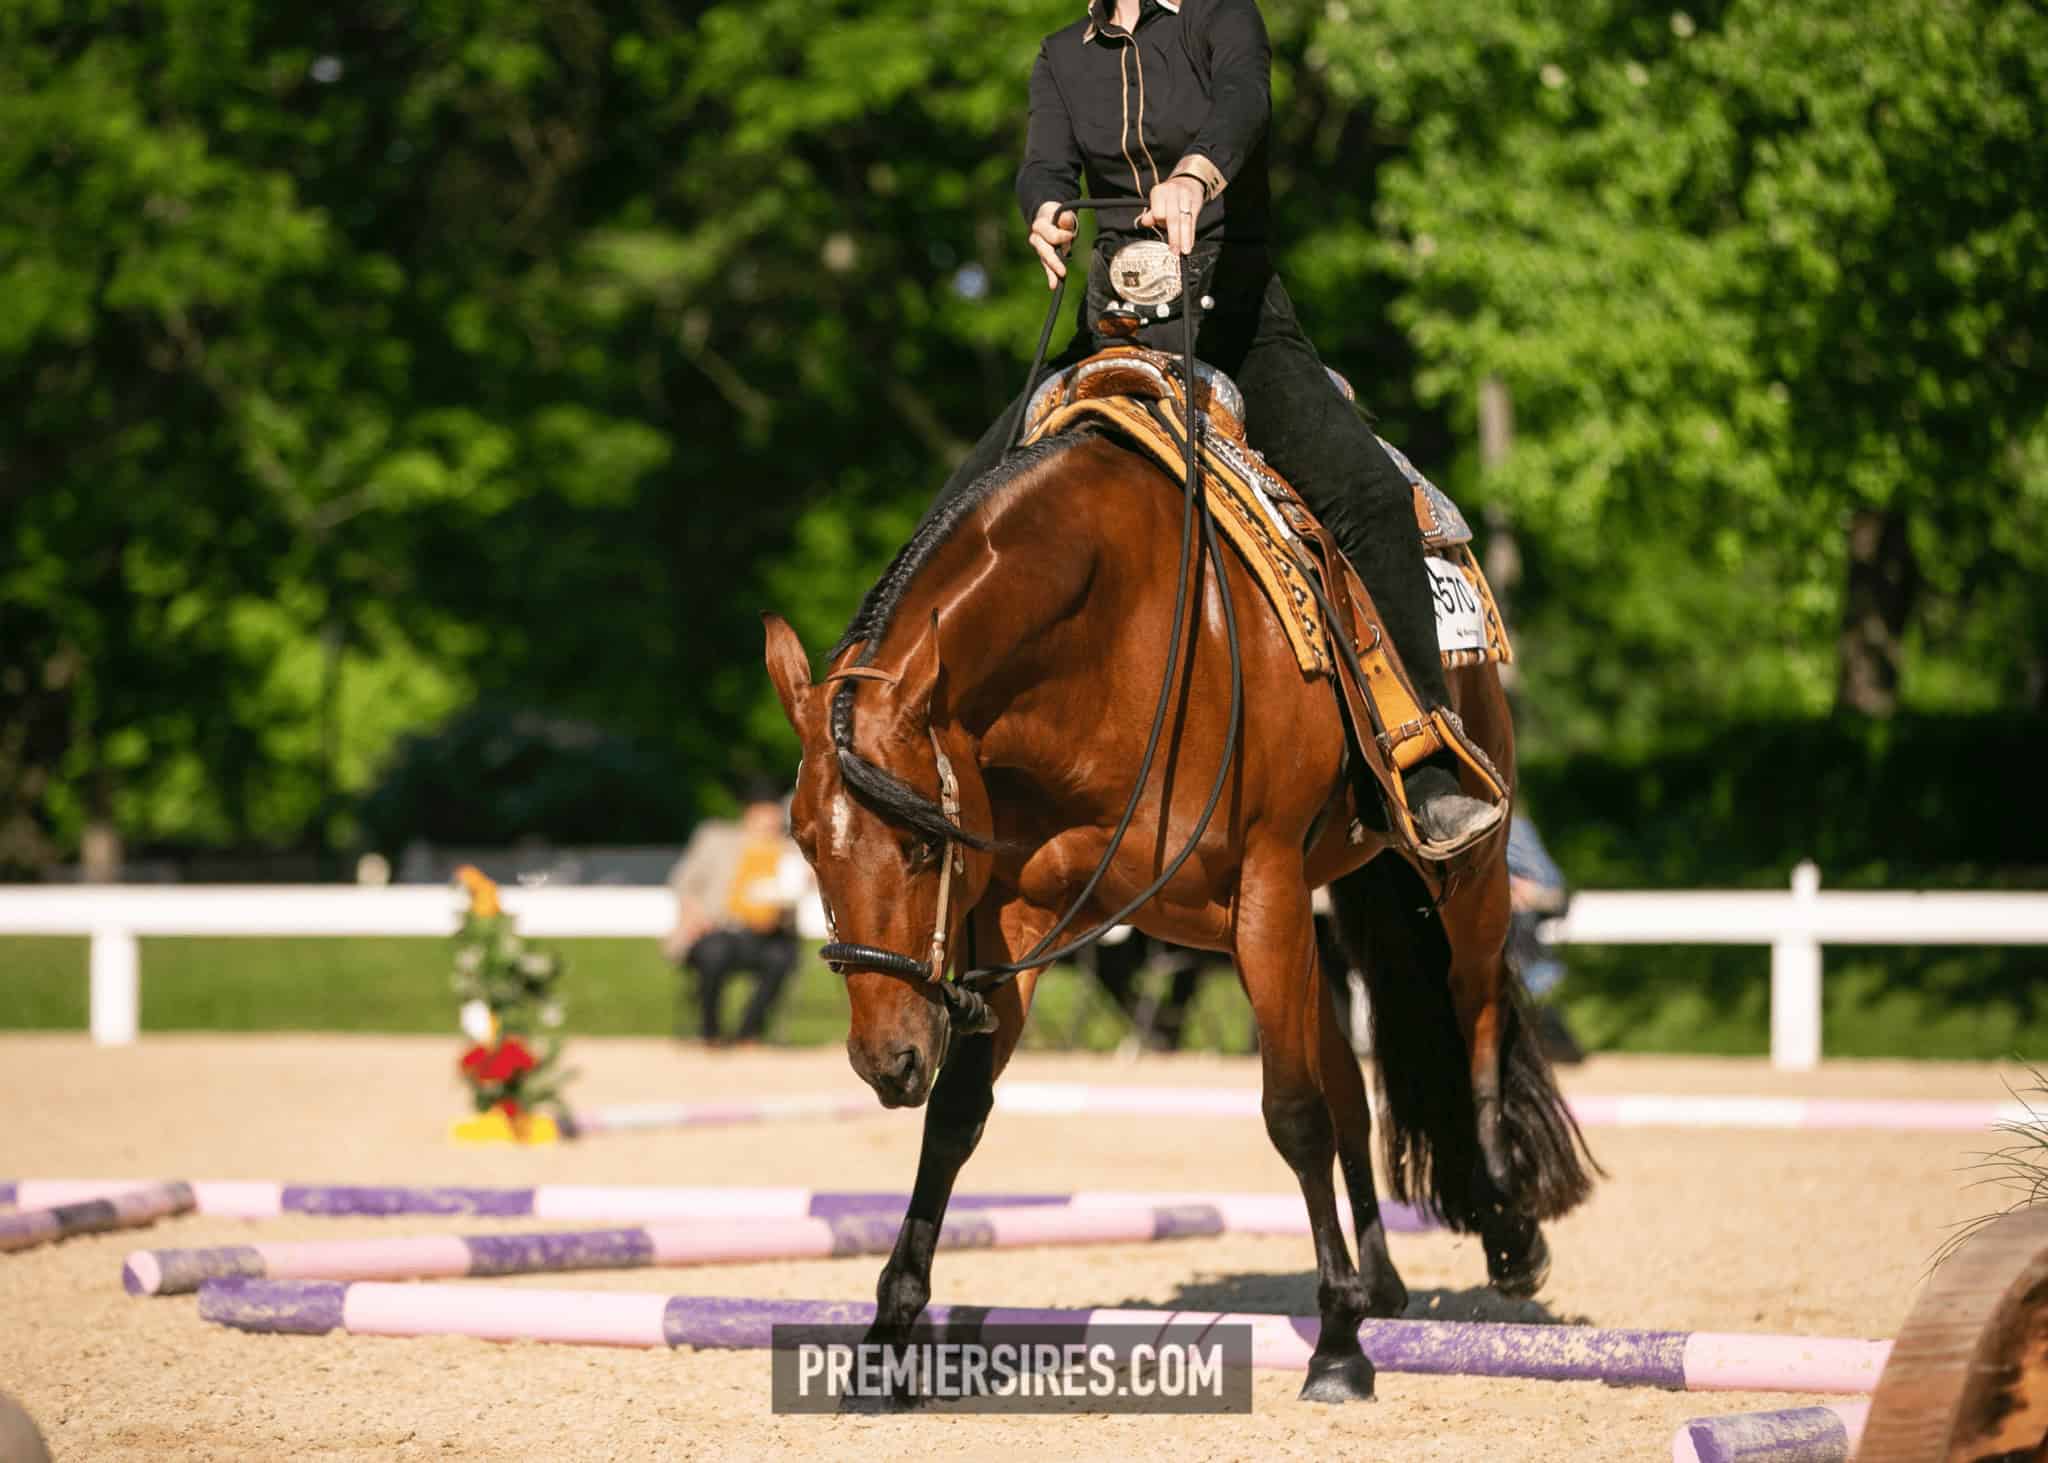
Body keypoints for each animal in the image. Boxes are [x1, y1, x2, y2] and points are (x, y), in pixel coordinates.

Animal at [762, 422, 1599, 1404]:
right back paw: (1381, 1279)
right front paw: (887, 1336)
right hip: (1308, 919)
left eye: (927, 842)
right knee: (1350, 1086)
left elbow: (1292, 1113)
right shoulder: (1025, 913)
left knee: (1476, 1013)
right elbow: (959, 1113)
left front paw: (1337, 1347)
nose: (884, 1057)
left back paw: (1505, 1229)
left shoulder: (1265, 885)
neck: (1115, 630)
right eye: (806, 842)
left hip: (1455, 874)